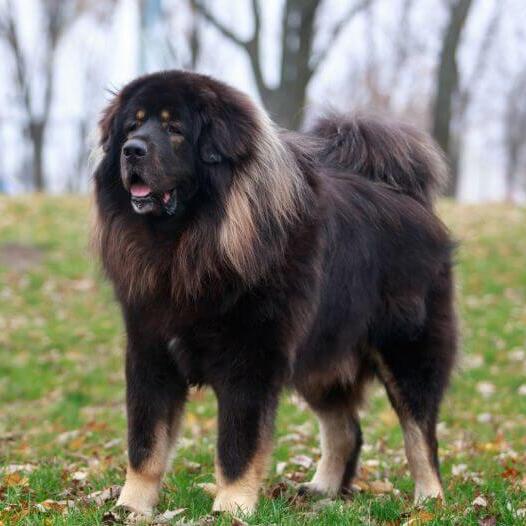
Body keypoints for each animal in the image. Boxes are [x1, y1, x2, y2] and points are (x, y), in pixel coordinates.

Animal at [93, 68, 460, 516]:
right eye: (133, 126)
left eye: (174, 129)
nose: (132, 150)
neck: (187, 245)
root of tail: (410, 199)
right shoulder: (150, 353)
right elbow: (145, 444)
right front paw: (129, 507)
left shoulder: (250, 361)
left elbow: (237, 447)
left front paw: (230, 508)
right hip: (320, 359)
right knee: (346, 430)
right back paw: (322, 490)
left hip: (407, 353)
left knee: (420, 434)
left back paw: (430, 500)